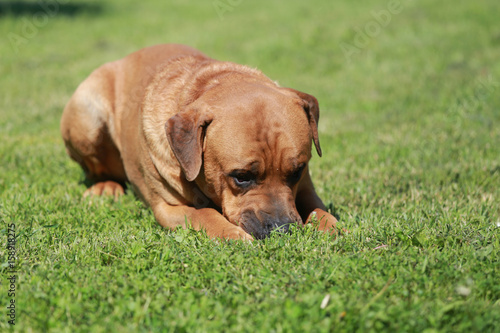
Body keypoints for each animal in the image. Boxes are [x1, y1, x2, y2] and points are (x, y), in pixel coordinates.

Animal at [60, 44, 338, 240]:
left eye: (297, 171)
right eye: (241, 177)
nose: (282, 230)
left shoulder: (305, 187)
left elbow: (318, 209)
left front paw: (332, 226)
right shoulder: (168, 208)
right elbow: (203, 214)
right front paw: (232, 234)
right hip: (87, 114)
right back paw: (105, 186)